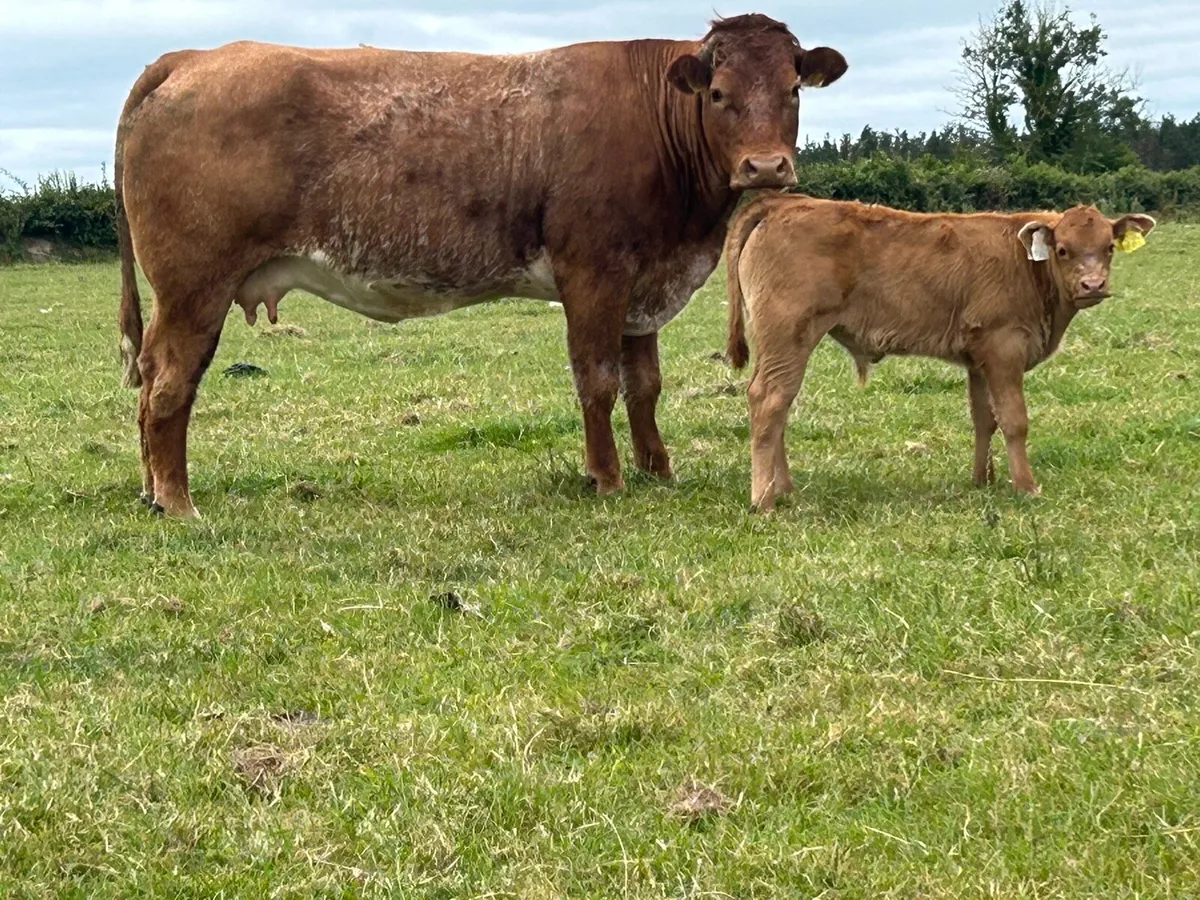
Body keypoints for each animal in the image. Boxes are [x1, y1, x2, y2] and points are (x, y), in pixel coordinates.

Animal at [113, 15, 848, 518]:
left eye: (793, 89)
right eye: (718, 93)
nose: (765, 167)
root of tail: (193, 56)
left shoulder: (645, 286)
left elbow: (645, 385)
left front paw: (657, 470)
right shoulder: (594, 273)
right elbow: (597, 380)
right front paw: (606, 478)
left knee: (150, 384)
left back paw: (153, 492)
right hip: (193, 286)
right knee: (169, 383)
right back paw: (177, 502)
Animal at [724, 195, 1157, 511]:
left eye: (1109, 248)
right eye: (1063, 250)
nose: (1093, 285)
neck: (1026, 264)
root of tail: (784, 203)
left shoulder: (979, 357)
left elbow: (984, 419)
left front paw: (983, 480)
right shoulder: (1004, 347)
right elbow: (1014, 420)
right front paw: (1025, 486)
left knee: (779, 403)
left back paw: (784, 489)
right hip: (788, 334)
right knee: (769, 399)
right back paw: (763, 499)